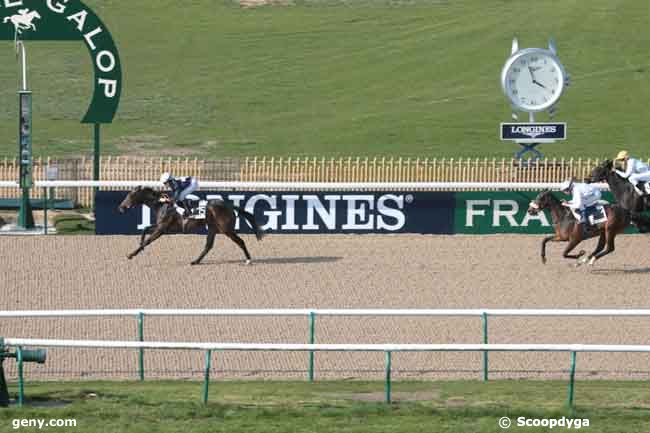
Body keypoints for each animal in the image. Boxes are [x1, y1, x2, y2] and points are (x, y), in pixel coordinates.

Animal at [117, 186, 262, 264]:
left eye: (130, 195)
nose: (121, 207)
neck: (162, 204)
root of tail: (230, 205)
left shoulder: (162, 228)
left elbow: (148, 240)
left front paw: (131, 254)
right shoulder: (162, 226)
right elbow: (145, 229)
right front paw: (139, 245)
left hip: (226, 229)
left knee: (240, 241)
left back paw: (249, 260)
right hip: (213, 228)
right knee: (208, 245)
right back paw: (196, 261)